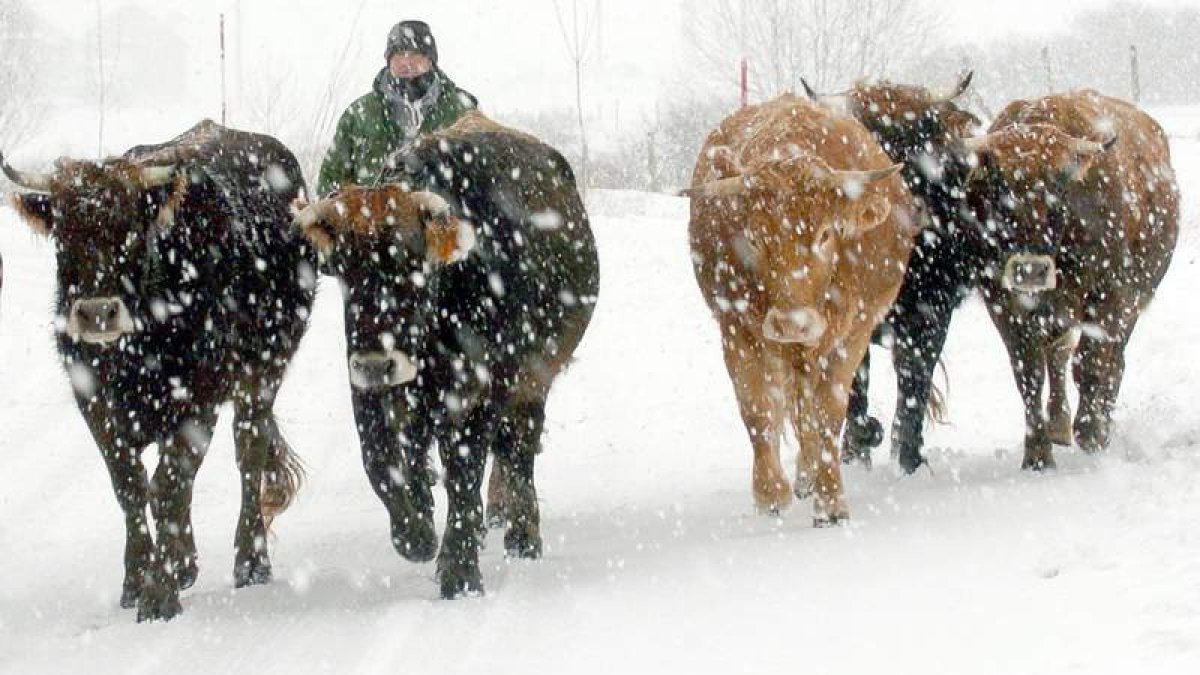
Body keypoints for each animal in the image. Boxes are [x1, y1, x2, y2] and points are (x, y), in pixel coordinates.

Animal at [1, 120, 316, 621]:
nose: (97, 314)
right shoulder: (93, 398)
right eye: (63, 235)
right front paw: (138, 579)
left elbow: (168, 485)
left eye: (129, 230)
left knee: (248, 451)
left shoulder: (199, 396)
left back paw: (251, 561)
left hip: (265, 370)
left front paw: (159, 594)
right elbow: (131, 485)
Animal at [293, 112, 599, 598]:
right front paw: (415, 531)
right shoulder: (367, 384)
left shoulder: (490, 383)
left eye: (412, 263)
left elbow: (465, 469)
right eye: (343, 269)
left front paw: (459, 570)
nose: (377, 363)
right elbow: (380, 459)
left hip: (535, 378)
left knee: (517, 449)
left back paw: (522, 534)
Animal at [687, 95, 918, 521]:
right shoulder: (735, 328)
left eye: (825, 234)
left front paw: (831, 501)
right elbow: (758, 410)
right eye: (755, 238)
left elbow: (828, 412)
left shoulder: (853, 334)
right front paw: (770, 493)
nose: (792, 324)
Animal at [802, 73, 983, 473]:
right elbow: (856, 383)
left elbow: (915, 378)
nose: (909, 213)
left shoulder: (932, 313)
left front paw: (910, 457)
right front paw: (859, 445)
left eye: (920, 146)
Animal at [962, 90, 1178, 469]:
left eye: (1057, 189)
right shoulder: (1003, 303)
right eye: (1000, 189)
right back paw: (1059, 425)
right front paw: (1037, 454)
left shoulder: (1110, 297)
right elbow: (1030, 372)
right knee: (1058, 356)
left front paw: (1092, 430)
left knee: (1111, 359)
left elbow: (1091, 362)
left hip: (1133, 301)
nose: (1029, 270)